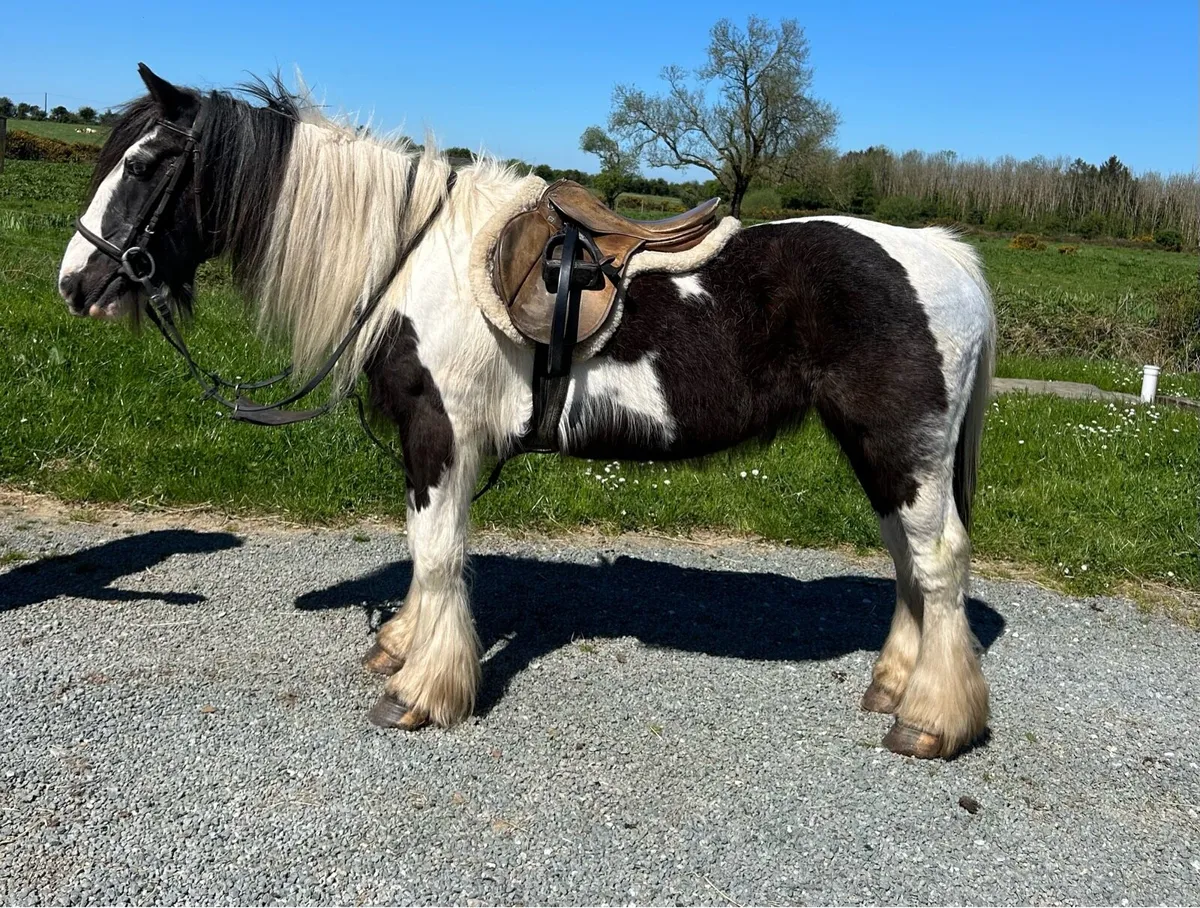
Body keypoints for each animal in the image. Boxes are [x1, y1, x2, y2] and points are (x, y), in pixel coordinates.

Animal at [57, 65, 996, 759]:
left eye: (143, 165)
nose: (76, 284)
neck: (411, 258)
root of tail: (944, 256)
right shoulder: (426, 443)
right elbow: (423, 550)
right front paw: (402, 645)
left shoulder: (439, 432)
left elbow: (437, 552)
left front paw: (421, 690)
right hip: (875, 447)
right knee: (905, 561)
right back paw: (895, 684)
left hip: (902, 447)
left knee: (938, 561)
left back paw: (932, 719)